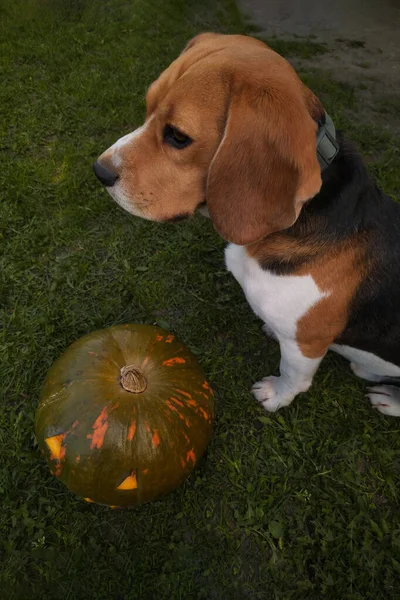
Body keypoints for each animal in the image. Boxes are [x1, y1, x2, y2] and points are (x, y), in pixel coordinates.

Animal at [92, 32, 400, 418]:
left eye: (177, 136)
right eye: (148, 107)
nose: (99, 171)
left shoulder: (306, 343)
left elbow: (293, 376)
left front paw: (276, 395)